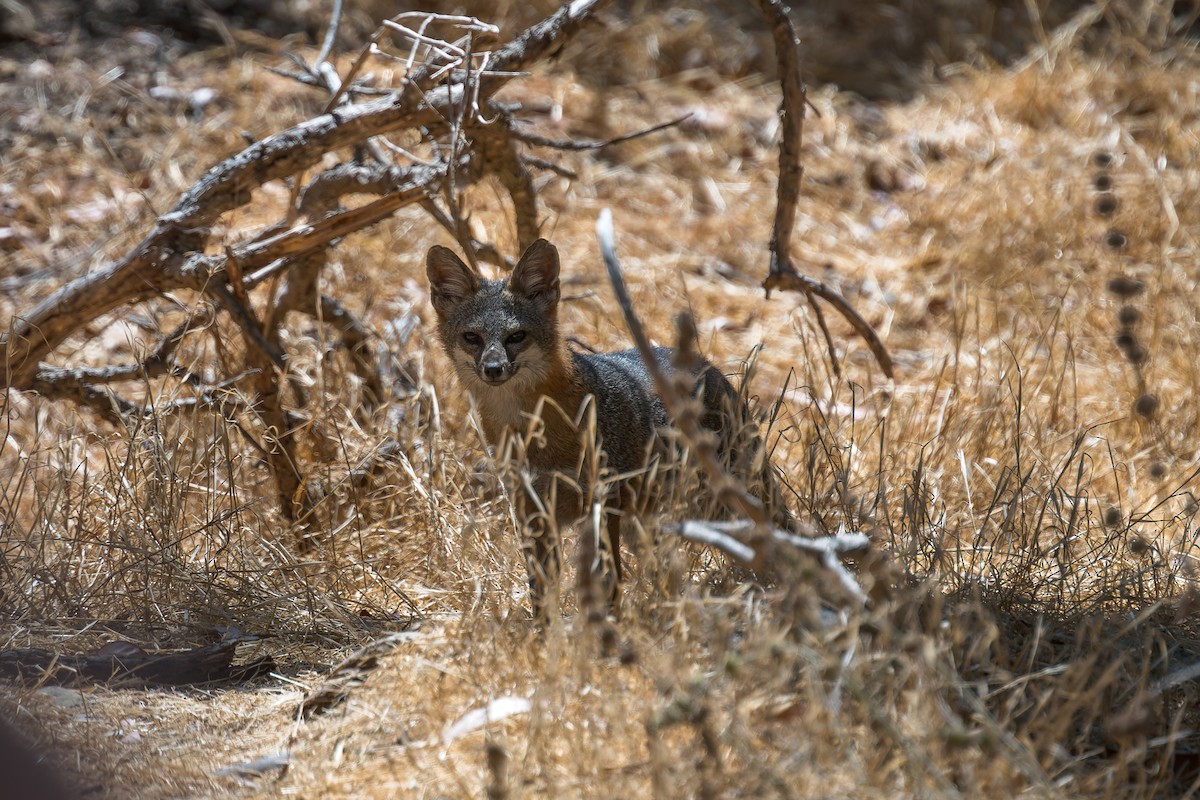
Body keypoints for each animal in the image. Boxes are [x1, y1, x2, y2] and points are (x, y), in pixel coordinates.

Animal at [426, 238, 789, 618]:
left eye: (516, 336)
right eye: (472, 338)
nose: (494, 369)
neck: (533, 432)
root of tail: (706, 365)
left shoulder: (603, 501)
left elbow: (608, 582)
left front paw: (607, 629)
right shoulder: (532, 509)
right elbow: (541, 590)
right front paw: (544, 632)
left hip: (721, 501)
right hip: (649, 521)